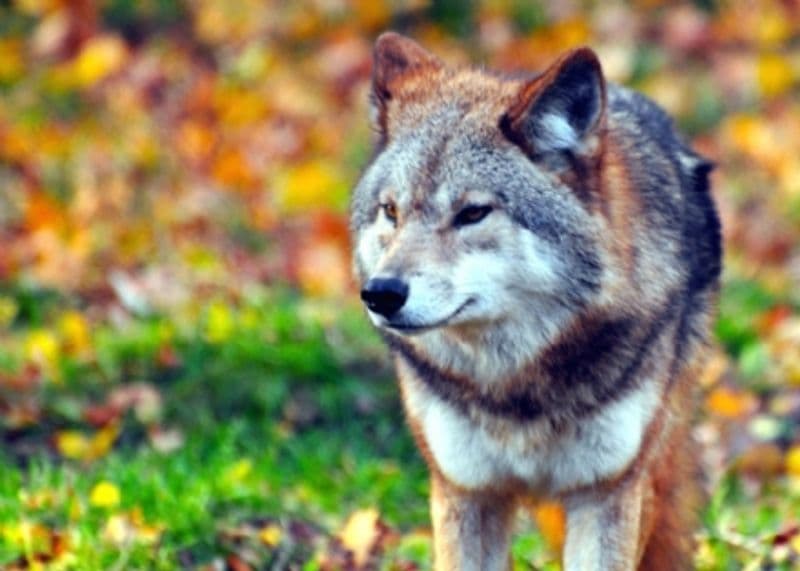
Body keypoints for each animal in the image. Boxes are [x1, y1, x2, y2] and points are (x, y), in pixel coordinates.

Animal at [350, 32, 721, 571]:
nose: (381, 293)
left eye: (473, 213)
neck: (514, 388)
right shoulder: (466, 491)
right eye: (390, 212)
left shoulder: (607, 493)